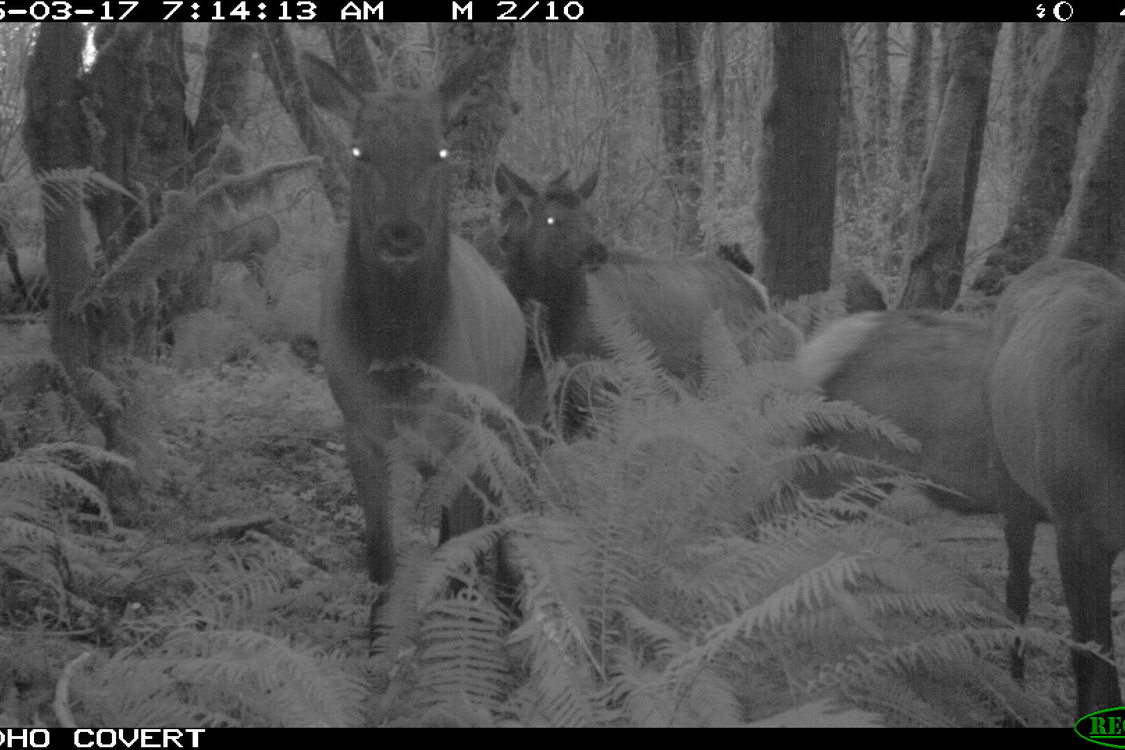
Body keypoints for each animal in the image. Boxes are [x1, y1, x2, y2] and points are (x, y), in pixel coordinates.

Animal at [299, 52, 526, 602]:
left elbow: (457, 561)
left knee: (500, 511)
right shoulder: (362, 433)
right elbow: (382, 556)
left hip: (503, 417)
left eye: (439, 150)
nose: (400, 233)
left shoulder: (463, 433)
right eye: (359, 150)